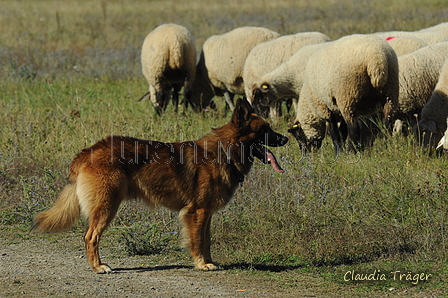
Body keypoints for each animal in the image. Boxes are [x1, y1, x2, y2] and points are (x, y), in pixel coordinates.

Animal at [33, 97, 288, 272]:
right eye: (264, 130)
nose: (286, 137)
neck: (225, 151)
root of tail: (89, 151)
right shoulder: (197, 212)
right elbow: (197, 241)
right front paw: (201, 264)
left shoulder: (206, 213)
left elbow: (206, 241)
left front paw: (208, 261)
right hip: (107, 206)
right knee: (91, 237)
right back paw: (98, 267)